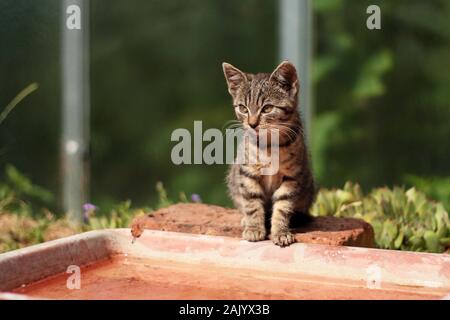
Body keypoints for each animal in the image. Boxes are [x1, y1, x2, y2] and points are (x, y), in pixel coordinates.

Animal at [223, 62, 314, 248]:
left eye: (267, 108)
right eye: (243, 108)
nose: (252, 124)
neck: (269, 145)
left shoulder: (292, 176)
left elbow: (283, 206)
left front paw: (281, 232)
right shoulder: (247, 172)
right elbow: (252, 203)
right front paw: (254, 229)